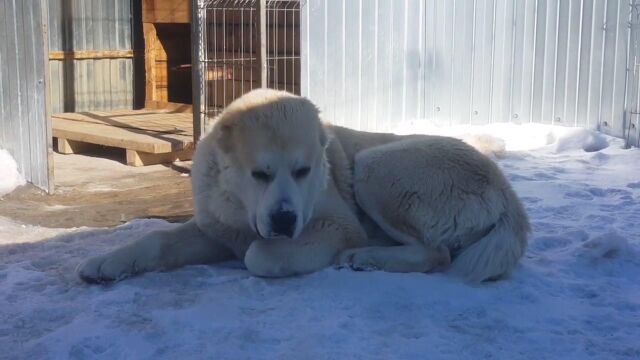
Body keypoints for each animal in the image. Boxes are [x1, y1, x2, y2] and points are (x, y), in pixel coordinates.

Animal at [76, 88, 528, 282]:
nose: (283, 219)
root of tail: (510, 195)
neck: (242, 205)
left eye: (304, 171)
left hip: (377, 166)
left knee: (437, 253)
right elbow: (156, 240)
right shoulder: (217, 228)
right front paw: (105, 264)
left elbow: (258, 255)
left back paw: (366, 257)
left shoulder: (335, 224)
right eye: (260, 173)